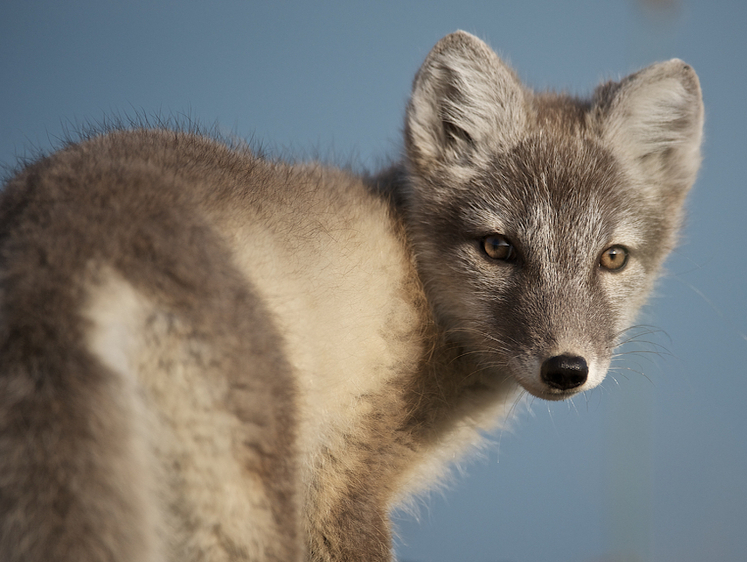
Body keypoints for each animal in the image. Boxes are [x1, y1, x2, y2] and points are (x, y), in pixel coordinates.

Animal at [0, 30, 700, 560]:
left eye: (613, 257)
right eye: (498, 247)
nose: (566, 369)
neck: (413, 276)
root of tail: (69, 236)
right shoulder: (342, 485)